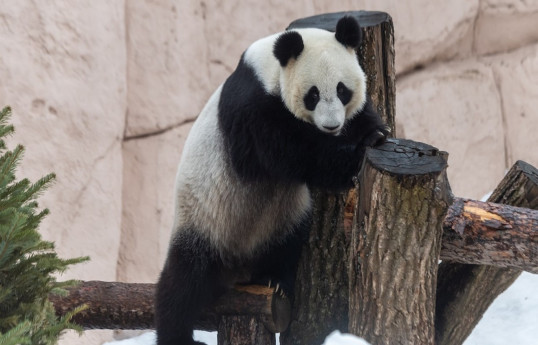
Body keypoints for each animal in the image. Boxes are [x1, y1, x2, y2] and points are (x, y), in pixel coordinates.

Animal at [154, 16, 386, 344]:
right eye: (313, 94)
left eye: (343, 90)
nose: (332, 126)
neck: (271, 69)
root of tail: (236, 269)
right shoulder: (252, 108)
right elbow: (289, 152)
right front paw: (350, 160)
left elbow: (361, 118)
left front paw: (375, 135)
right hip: (202, 220)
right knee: (182, 284)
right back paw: (179, 333)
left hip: (280, 220)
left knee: (285, 244)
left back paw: (273, 279)